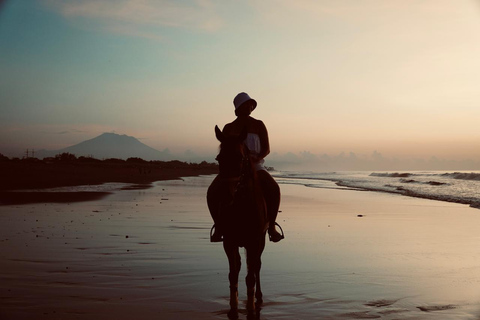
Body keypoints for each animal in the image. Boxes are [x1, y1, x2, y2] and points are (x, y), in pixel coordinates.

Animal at [214, 125, 270, 318]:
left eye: (240, 158)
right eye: (219, 158)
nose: (224, 197)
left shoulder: (254, 241)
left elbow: (251, 275)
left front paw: (251, 309)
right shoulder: (229, 241)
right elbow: (233, 273)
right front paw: (233, 306)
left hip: (261, 240)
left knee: (257, 266)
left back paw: (258, 297)